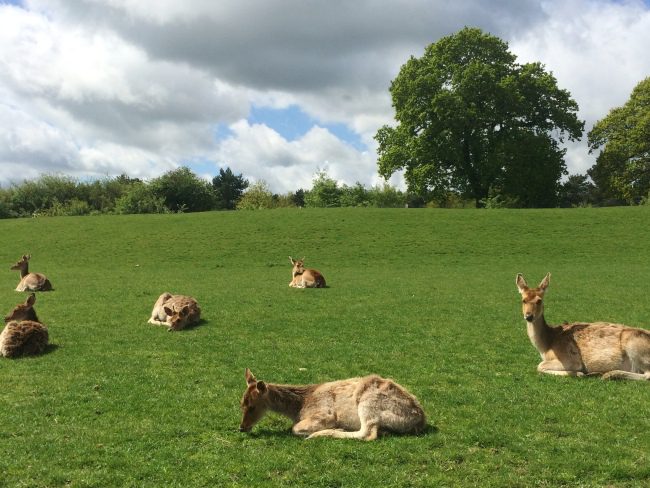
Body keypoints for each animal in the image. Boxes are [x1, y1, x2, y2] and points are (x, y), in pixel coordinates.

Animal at [238, 368, 426, 440]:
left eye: (252, 405)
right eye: (241, 403)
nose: (242, 427)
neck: (300, 406)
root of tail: (420, 419)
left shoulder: (325, 414)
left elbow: (295, 429)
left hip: (369, 403)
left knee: (367, 433)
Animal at [516, 272, 648, 380]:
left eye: (539, 300)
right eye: (523, 300)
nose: (529, 316)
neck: (546, 346)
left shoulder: (570, 359)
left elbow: (539, 366)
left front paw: (579, 373)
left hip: (634, 346)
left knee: (647, 375)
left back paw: (608, 374)